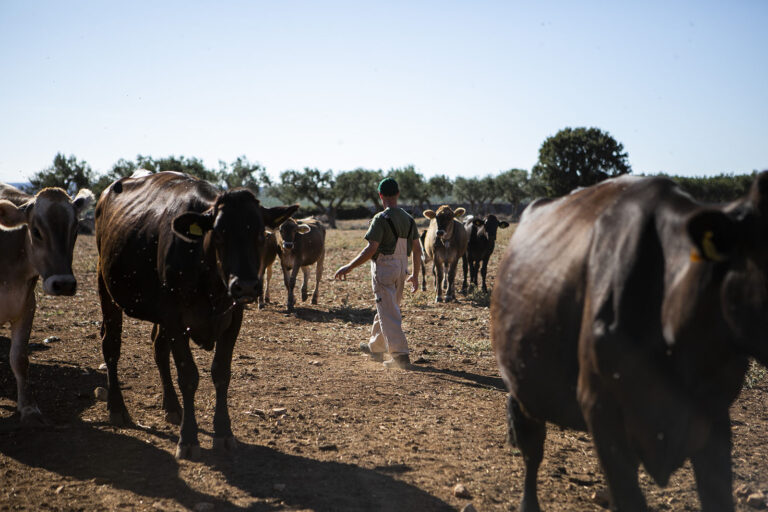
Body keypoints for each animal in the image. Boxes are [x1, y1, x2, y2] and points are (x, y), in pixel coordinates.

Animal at [0, 184, 94, 424]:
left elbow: (19, 359)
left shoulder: (27, 306)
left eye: (75, 230)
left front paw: (28, 408)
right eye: (35, 231)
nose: (64, 284)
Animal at [95, 173, 296, 460]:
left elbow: (221, 372)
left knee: (158, 348)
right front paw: (188, 439)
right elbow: (188, 375)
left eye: (260, 233)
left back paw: (172, 406)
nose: (246, 286)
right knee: (111, 345)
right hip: (106, 287)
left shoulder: (233, 319)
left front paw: (223, 433)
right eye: (219, 233)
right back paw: (117, 407)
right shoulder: (175, 319)